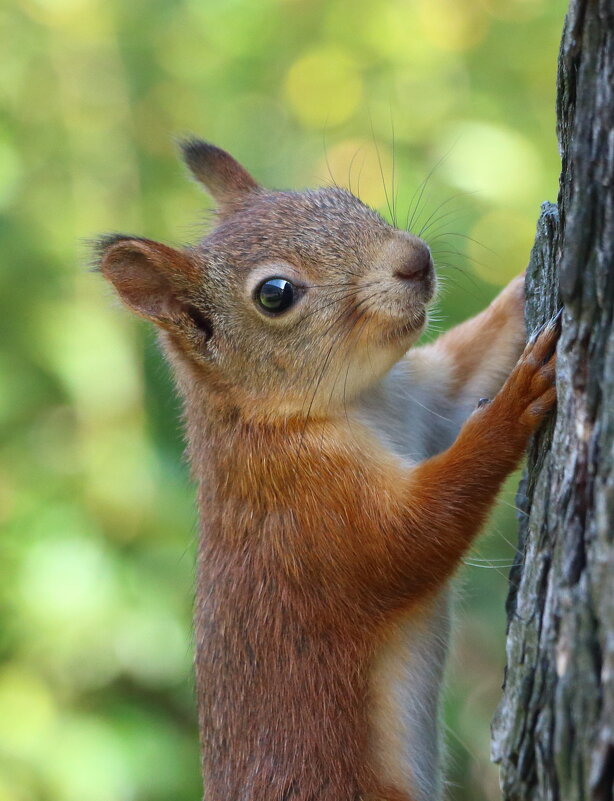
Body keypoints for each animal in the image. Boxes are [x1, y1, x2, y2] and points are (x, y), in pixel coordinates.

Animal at [97, 142, 564, 800]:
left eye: (342, 197)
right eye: (274, 294)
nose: (414, 260)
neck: (357, 401)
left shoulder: (425, 397)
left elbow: (468, 361)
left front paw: (525, 279)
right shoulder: (313, 513)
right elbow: (414, 536)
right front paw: (516, 402)